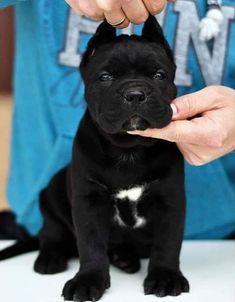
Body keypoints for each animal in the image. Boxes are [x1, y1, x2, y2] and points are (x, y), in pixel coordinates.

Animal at [0, 15, 189, 302]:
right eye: (105, 77)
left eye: (159, 75)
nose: (135, 94)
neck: (128, 150)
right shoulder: (88, 202)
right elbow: (90, 245)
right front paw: (88, 280)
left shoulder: (170, 200)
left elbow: (168, 243)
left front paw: (165, 276)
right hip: (51, 194)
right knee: (51, 233)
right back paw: (51, 258)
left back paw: (124, 258)